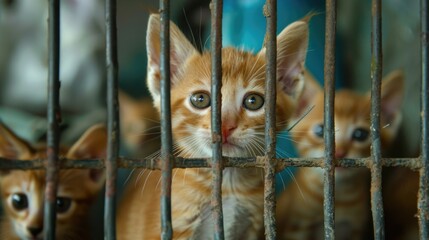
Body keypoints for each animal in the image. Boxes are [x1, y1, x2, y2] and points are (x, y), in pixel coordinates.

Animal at [276, 71, 402, 240]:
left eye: (360, 134)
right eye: (320, 131)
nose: (339, 152)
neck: (340, 196)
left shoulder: (355, 229)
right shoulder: (296, 228)